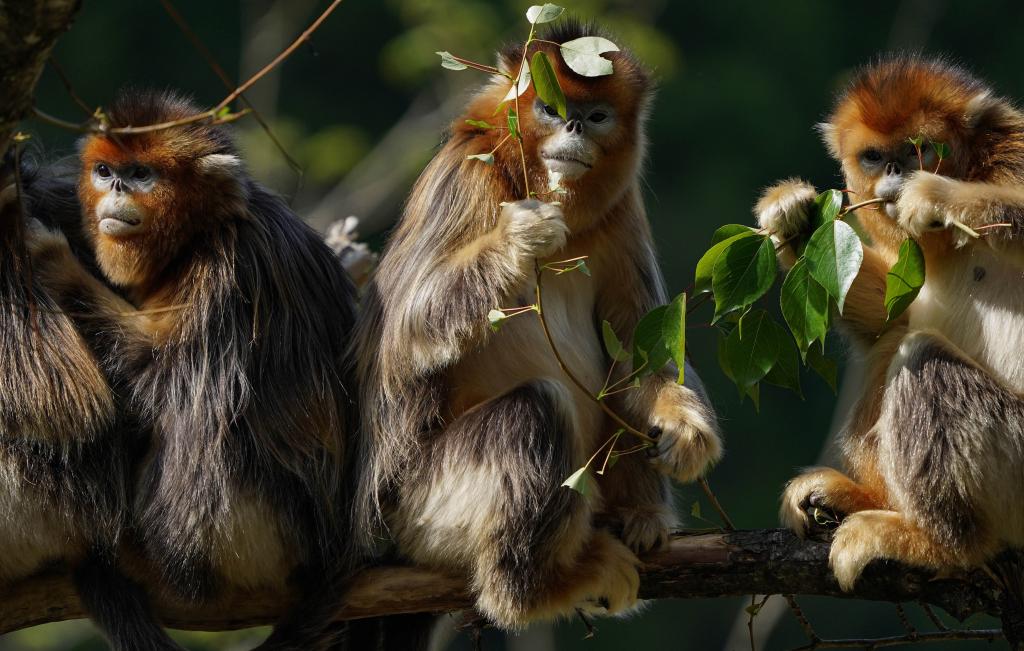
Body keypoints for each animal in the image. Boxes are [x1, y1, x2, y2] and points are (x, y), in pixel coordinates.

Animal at [354, 21, 720, 630]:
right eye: (550, 109)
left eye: (595, 115)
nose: (573, 126)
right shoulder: (467, 176)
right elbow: (405, 333)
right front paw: (520, 239)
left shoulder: (622, 214)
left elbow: (637, 352)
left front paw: (686, 427)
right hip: (422, 513)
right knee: (536, 408)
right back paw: (535, 589)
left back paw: (639, 516)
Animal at [757, 57, 1024, 589]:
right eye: (875, 156)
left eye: (917, 149)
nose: (898, 172)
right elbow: (890, 314)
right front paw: (794, 216)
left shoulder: (1016, 154)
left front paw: (933, 197)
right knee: (894, 342)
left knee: (921, 357)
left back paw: (937, 544)